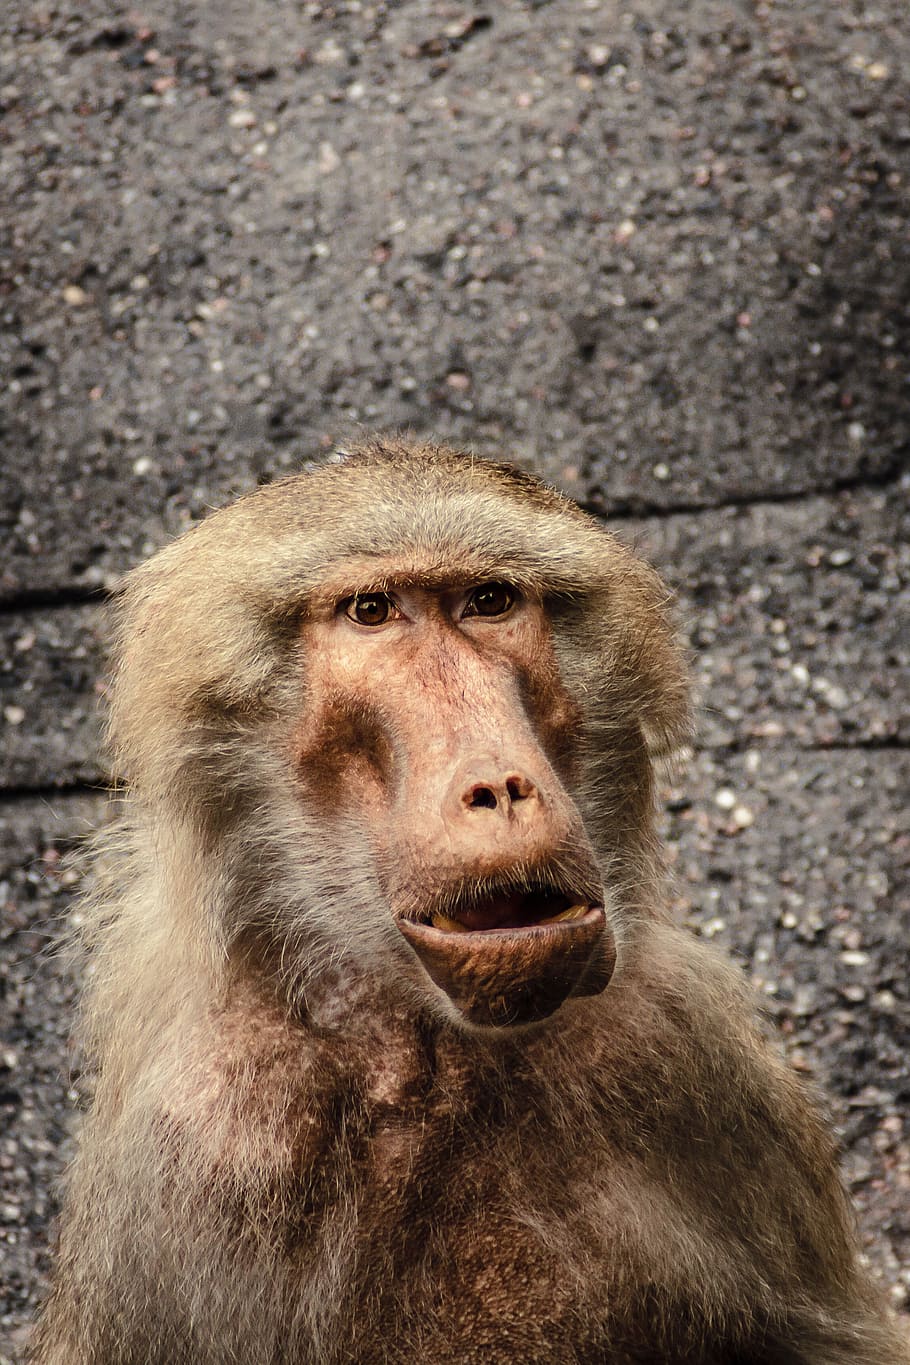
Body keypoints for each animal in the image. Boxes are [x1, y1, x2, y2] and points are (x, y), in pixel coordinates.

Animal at [31, 436, 908, 1365]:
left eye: (490, 601)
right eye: (372, 611)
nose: (500, 787)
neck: (429, 1055)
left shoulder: (684, 1051)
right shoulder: (202, 1137)